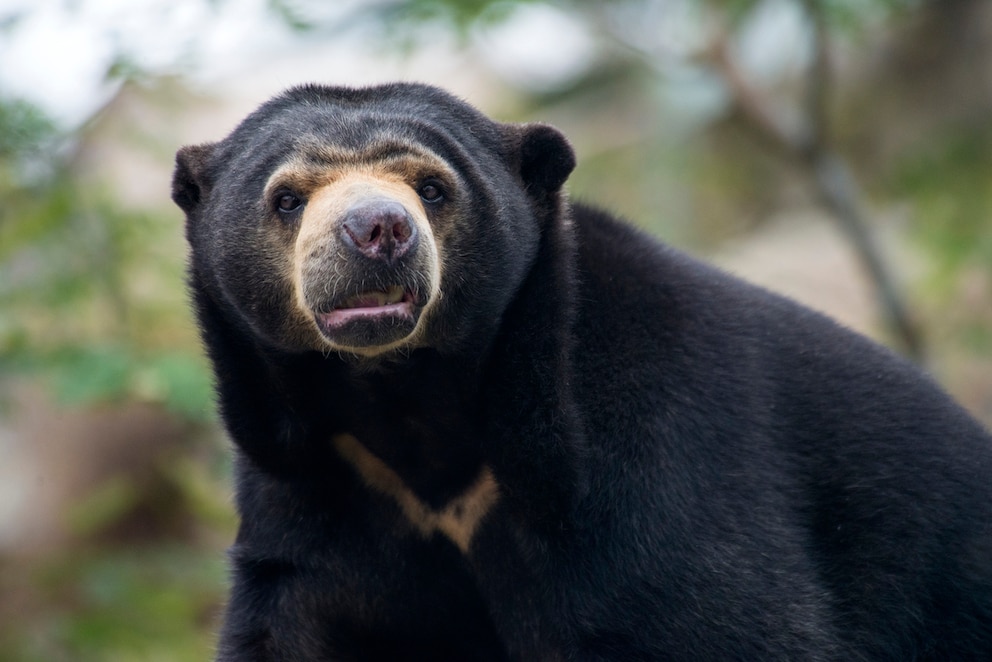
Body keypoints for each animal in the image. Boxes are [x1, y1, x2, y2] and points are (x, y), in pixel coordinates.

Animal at [172, 81, 992, 660]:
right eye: (287, 198)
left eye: (432, 187)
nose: (378, 229)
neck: (411, 405)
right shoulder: (315, 491)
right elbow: (296, 629)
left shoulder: (648, 459)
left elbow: (726, 618)